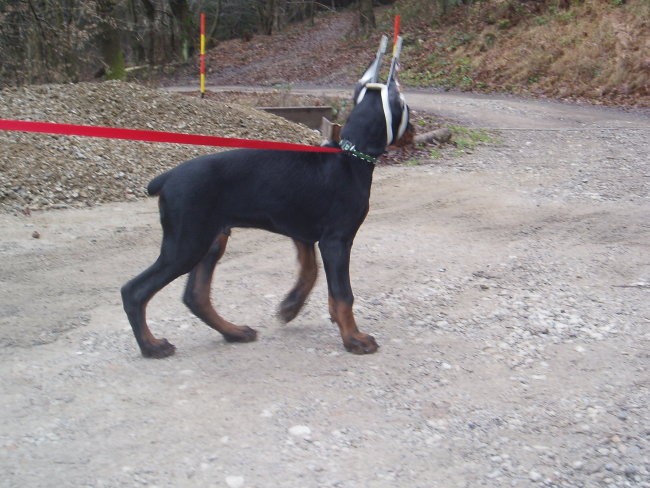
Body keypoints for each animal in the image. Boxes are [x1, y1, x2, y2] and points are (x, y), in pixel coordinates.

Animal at [119, 37, 408, 358]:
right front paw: (354, 338)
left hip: (212, 240)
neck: (349, 155)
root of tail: (166, 178)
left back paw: (233, 332)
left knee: (196, 296)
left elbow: (311, 272)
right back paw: (151, 346)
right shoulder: (336, 240)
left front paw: (291, 306)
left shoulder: (302, 232)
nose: (412, 133)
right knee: (134, 291)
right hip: (187, 243)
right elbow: (343, 293)